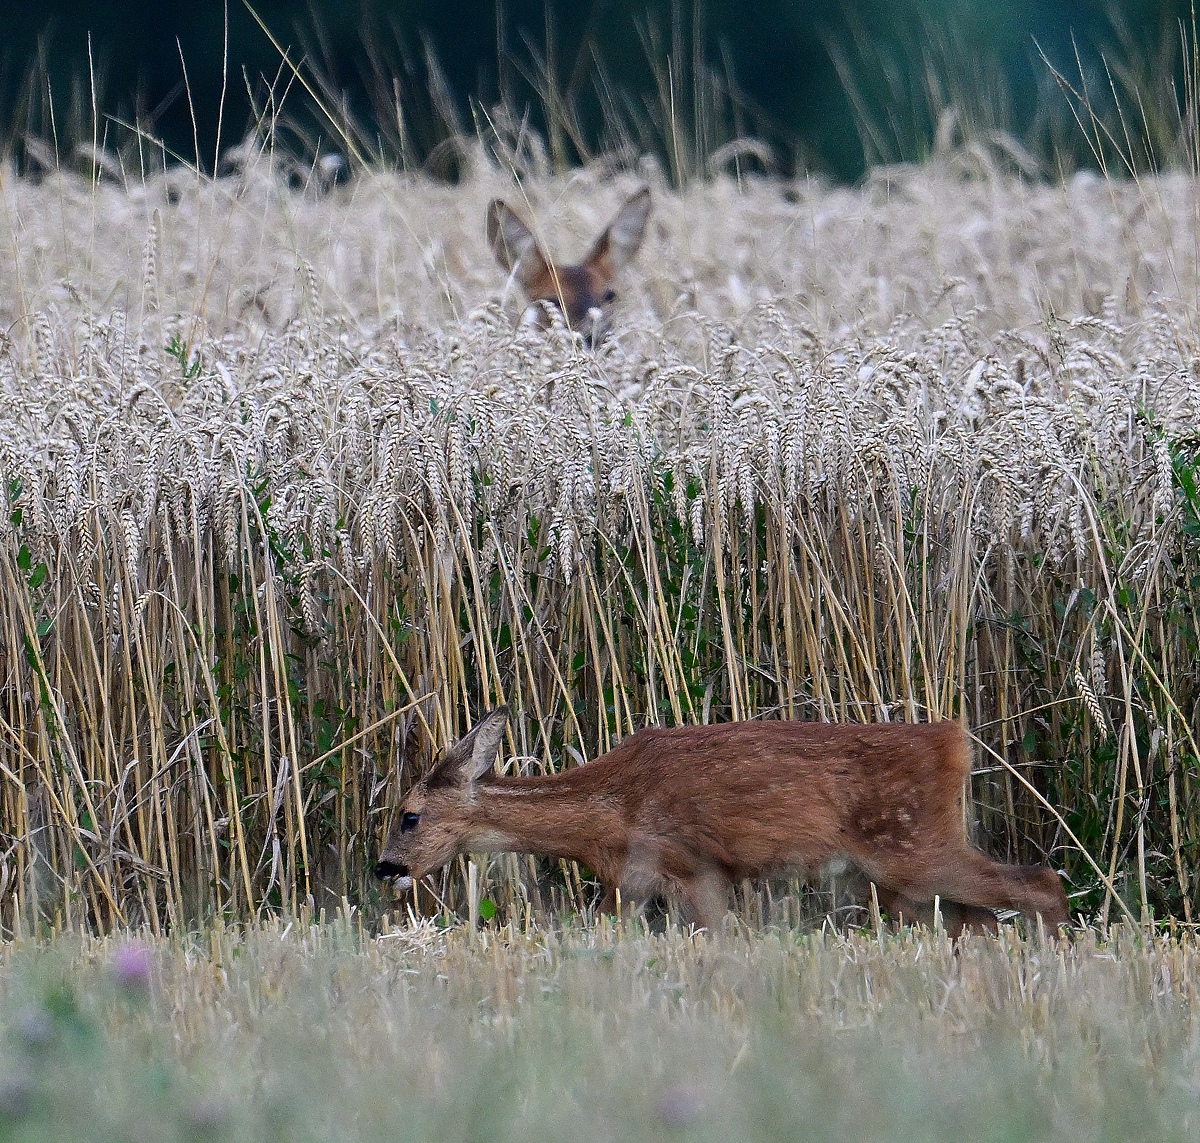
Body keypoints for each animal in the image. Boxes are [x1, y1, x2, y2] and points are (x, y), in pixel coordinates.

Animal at [374, 705, 1070, 936]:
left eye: (408, 816)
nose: (384, 867)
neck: (606, 810)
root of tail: (954, 742)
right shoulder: (636, 885)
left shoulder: (690, 865)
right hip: (905, 877)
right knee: (981, 922)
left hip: (912, 848)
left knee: (1041, 884)